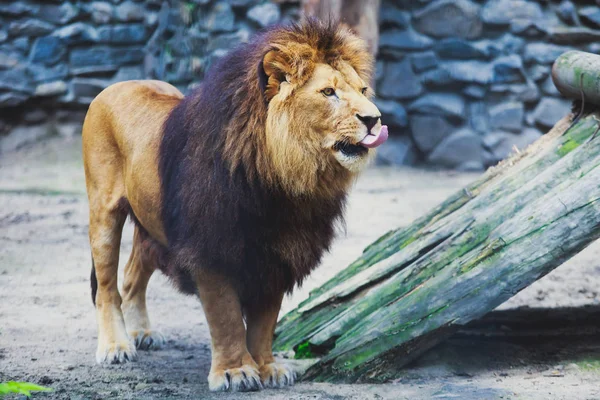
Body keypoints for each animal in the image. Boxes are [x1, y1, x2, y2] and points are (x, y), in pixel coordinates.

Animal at [82, 20, 386, 392]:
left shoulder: (280, 253)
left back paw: (142, 332)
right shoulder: (211, 249)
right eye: (328, 92)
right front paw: (235, 371)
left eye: (363, 89)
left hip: (152, 223)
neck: (282, 181)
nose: (374, 119)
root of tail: (117, 85)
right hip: (104, 212)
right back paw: (116, 346)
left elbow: (265, 322)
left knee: (131, 276)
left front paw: (268, 367)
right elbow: (225, 316)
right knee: (107, 286)